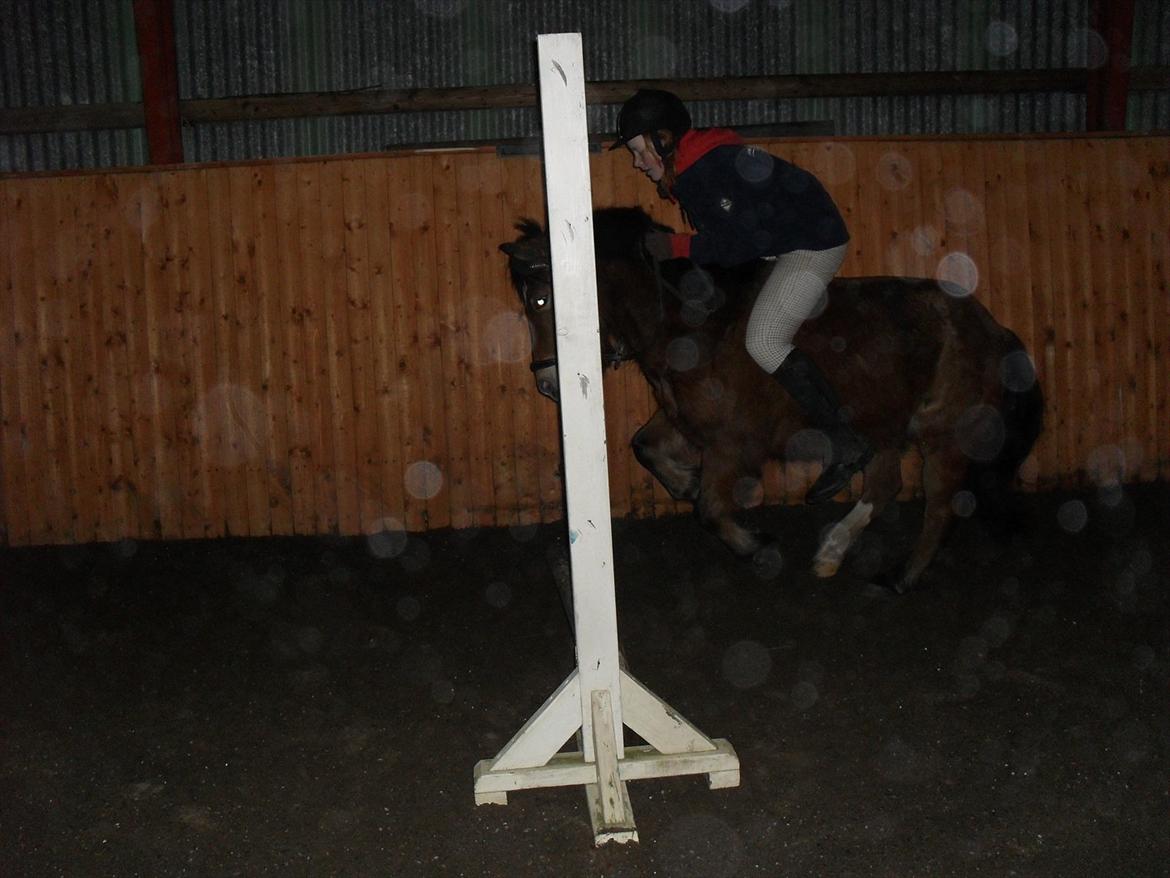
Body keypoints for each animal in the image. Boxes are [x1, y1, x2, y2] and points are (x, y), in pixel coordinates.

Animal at [498, 207, 1048, 594]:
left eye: (542, 299)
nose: (547, 383)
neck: (688, 322)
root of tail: (991, 325)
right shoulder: (685, 420)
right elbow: (644, 446)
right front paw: (683, 481)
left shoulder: (731, 442)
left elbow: (710, 508)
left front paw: (755, 547)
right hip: (884, 421)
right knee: (885, 483)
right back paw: (832, 551)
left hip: (944, 432)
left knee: (939, 503)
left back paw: (902, 577)